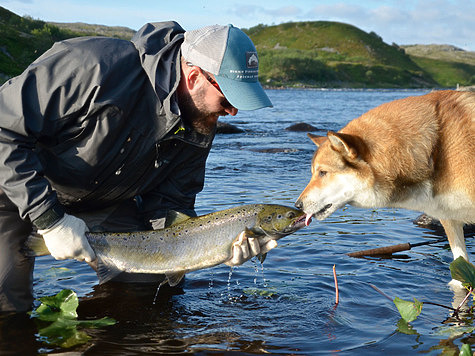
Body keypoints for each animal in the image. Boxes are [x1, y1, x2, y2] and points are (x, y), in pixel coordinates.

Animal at [296, 90, 475, 286]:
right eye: (314, 172)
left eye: (323, 172)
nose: (298, 206)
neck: (437, 148)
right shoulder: (450, 220)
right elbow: (460, 272)